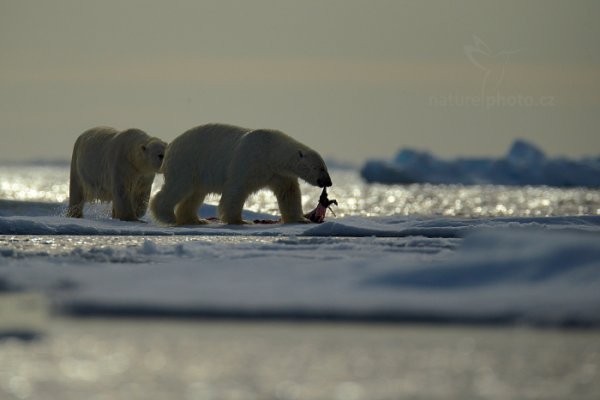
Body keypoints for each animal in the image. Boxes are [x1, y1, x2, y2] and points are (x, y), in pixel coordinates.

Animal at [150, 123, 332, 225]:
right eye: (321, 168)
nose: (328, 182)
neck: (271, 151)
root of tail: (171, 146)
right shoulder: (249, 160)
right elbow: (236, 189)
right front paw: (239, 220)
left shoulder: (278, 174)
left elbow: (289, 192)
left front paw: (301, 219)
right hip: (187, 162)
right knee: (178, 187)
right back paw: (168, 217)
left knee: (195, 194)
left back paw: (195, 220)